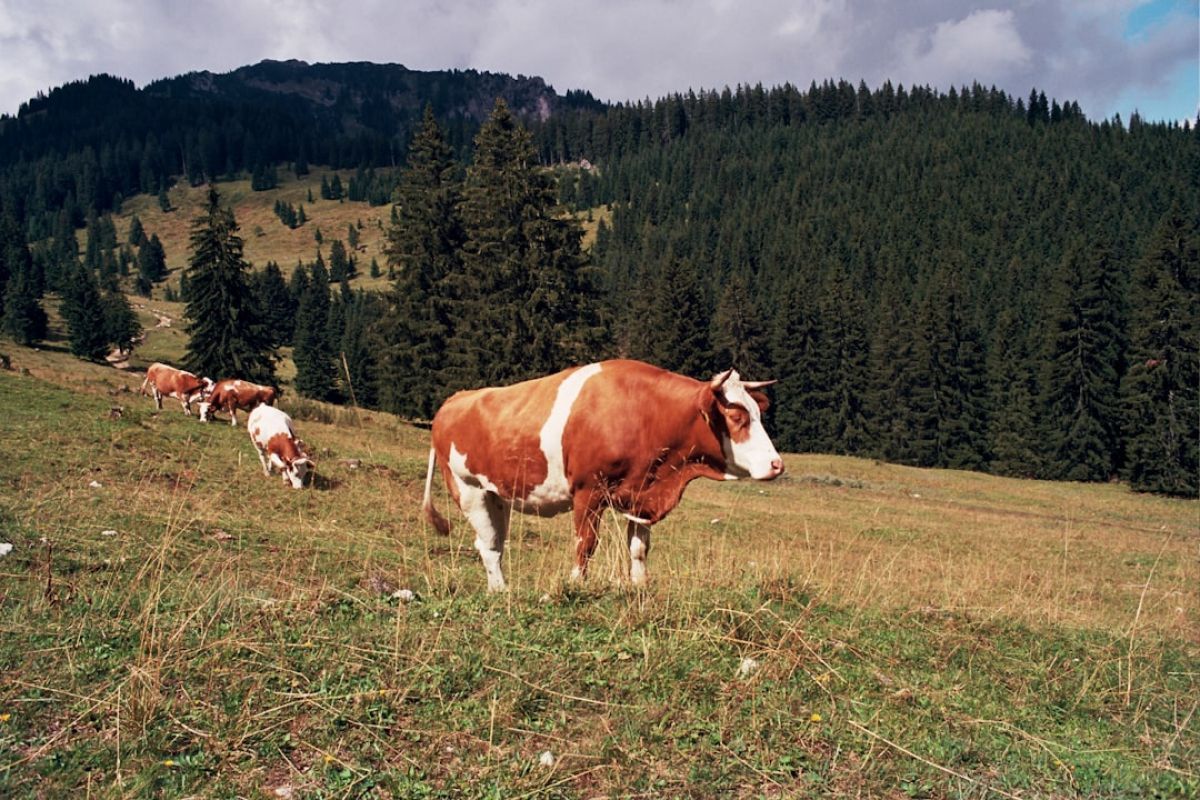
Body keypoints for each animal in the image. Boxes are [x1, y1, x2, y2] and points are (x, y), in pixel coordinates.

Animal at [424, 359, 787, 592]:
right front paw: (575, 584)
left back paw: (497, 588)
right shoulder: (588, 490)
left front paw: (640, 585)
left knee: (495, 542)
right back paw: (500, 590)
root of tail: (455, 400)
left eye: (757, 414)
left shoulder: (642, 494)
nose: (777, 465)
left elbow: (639, 548)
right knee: (487, 543)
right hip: (468, 489)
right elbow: (585, 543)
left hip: (497, 494)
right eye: (737, 417)